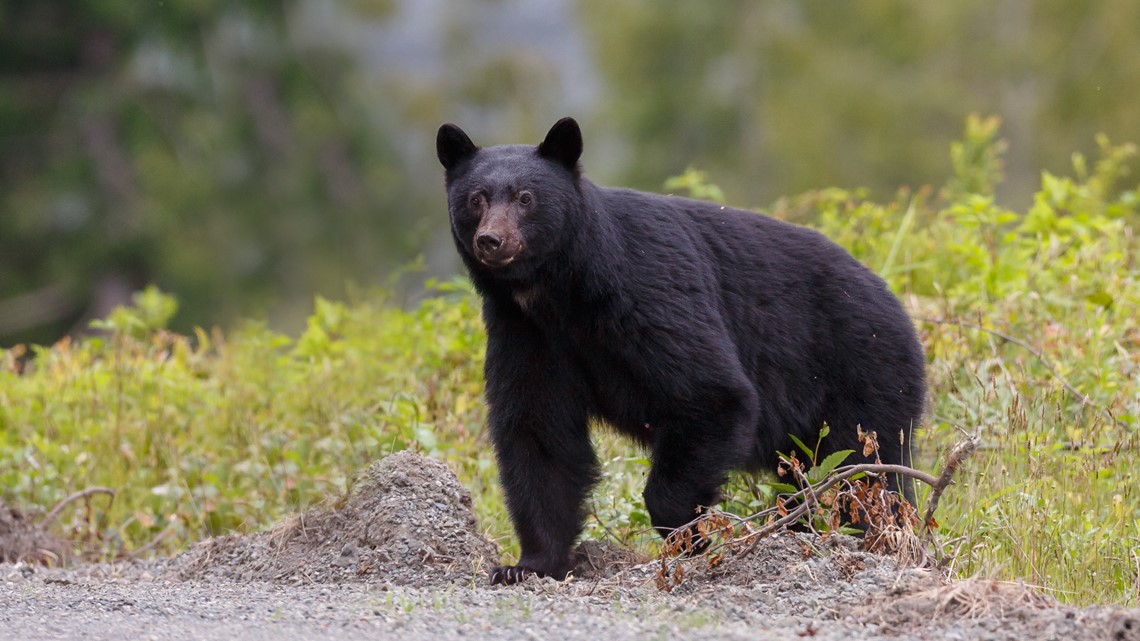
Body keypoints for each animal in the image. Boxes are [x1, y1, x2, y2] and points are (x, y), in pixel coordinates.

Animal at [435, 115, 925, 583]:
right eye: (476, 198)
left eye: (525, 198)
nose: (491, 241)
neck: (560, 291)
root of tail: (900, 308)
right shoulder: (526, 333)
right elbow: (539, 433)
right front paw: (530, 564)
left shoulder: (649, 292)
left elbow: (711, 393)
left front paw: (689, 539)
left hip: (863, 373)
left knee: (862, 471)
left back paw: (862, 536)